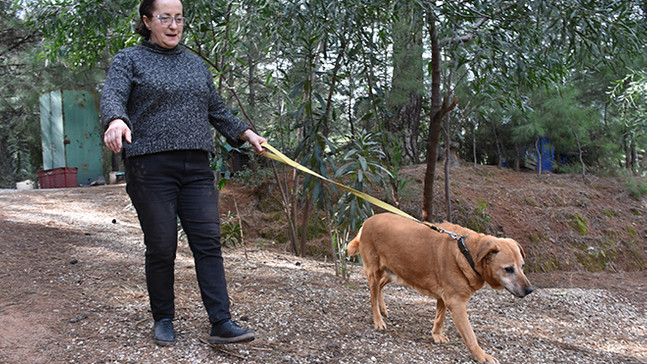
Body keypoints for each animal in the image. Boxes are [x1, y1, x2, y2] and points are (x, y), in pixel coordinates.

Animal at [350, 212, 536, 362]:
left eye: (522, 266)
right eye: (508, 269)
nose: (529, 290)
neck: (467, 253)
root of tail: (367, 221)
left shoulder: (444, 298)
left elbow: (439, 319)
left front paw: (437, 336)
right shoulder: (457, 303)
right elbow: (470, 336)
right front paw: (482, 356)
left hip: (394, 272)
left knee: (379, 289)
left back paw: (383, 309)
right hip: (375, 272)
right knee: (372, 297)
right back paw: (378, 319)